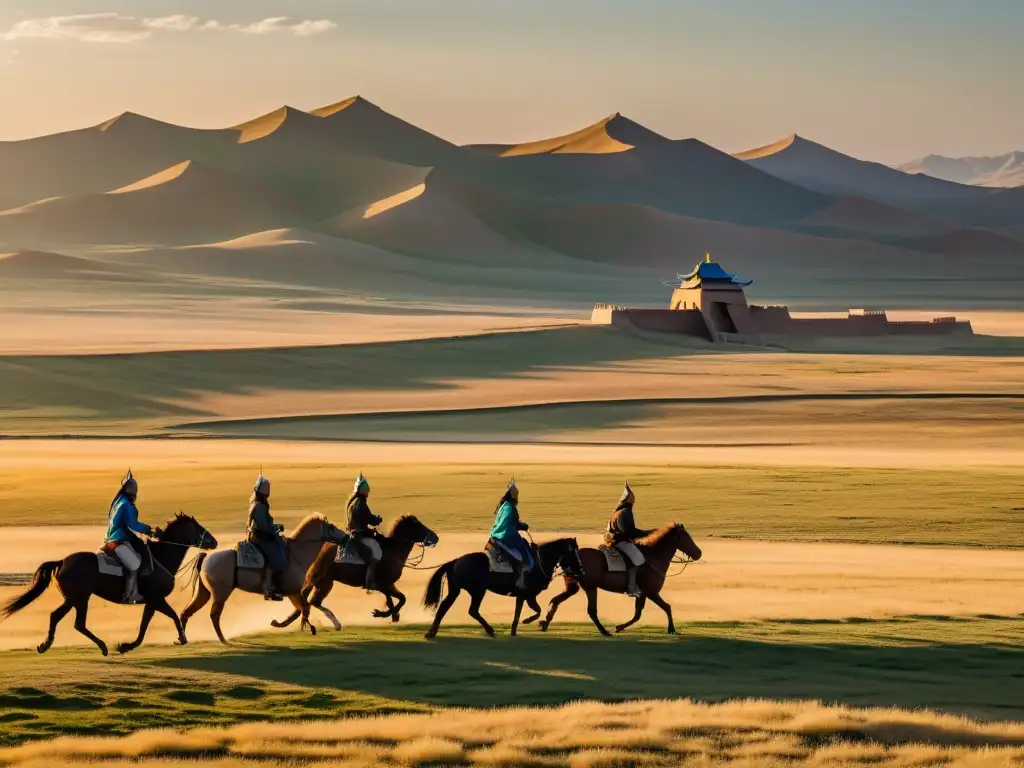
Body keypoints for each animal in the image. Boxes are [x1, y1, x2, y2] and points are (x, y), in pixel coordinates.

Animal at [0, 514, 214, 659]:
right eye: (198, 527)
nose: (213, 541)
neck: (161, 557)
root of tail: (62, 562)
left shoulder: (151, 602)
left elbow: (145, 625)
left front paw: (126, 646)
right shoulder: (157, 599)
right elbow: (172, 616)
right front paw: (181, 638)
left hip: (72, 599)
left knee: (56, 616)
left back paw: (45, 645)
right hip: (81, 598)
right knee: (79, 624)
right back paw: (102, 647)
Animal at [179, 514, 348, 647]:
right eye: (332, 527)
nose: (347, 537)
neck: (297, 554)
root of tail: (206, 558)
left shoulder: (293, 593)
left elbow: (302, 608)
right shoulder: (293, 592)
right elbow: (304, 608)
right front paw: (308, 627)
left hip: (204, 593)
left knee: (187, 611)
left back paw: (182, 639)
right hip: (220, 594)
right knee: (214, 615)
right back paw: (223, 640)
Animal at [270, 518, 438, 630]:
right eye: (419, 526)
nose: (435, 537)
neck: (393, 551)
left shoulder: (387, 585)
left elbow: (397, 599)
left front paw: (391, 615)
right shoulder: (382, 584)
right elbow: (400, 599)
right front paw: (383, 614)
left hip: (323, 582)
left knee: (309, 601)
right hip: (321, 580)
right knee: (309, 600)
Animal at [421, 536, 585, 638]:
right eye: (574, 553)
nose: (581, 570)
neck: (539, 562)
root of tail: (455, 561)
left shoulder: (527, 596)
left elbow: (530, 611)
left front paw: (522, 627)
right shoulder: (525, 594)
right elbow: (527, 612)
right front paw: (525, 623)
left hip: (457, 590)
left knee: (447, 607)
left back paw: (432, 632)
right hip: (477, 591)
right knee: (470, 610)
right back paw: (490, 630)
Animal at [540, 524, 700, 638]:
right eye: (687, 537)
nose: (699, 553)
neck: (654, 556)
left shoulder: (642, 594)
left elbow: (638, 614)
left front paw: (619, 627)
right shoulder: (651, 592)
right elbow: (666, 607)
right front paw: (672, 629)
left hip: (574, 586)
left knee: (556, 600)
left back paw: (545, 623)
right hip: (590, 587)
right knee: (591, 610)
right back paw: (604, 631)